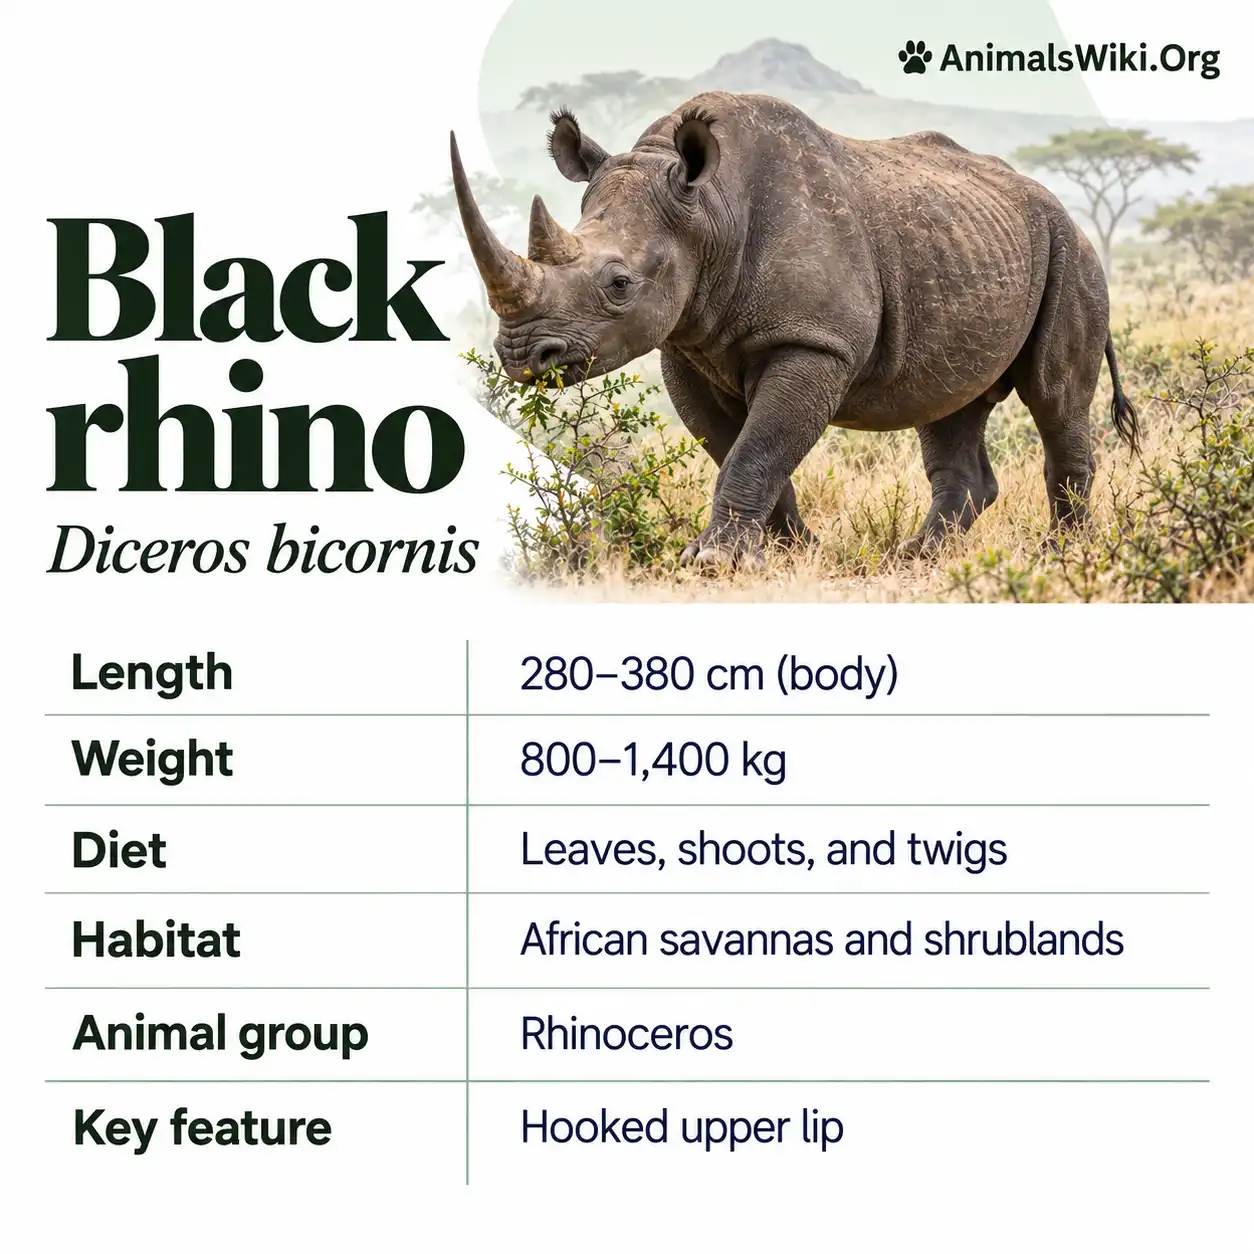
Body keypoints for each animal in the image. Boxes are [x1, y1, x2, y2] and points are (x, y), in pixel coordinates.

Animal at [450, 91, 1139, 566]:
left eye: (619, 284)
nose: (520, 356)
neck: (708, 214)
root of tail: (1062, 211)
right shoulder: (686, 345)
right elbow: (737, 445)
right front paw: (789, 552)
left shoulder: (813, 341)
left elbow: (758, 447)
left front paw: (716, 561)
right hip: (966, 249)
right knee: (948, 402)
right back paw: (915, 559)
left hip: (1070, 253)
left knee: (1053, 398)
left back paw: (1064, 557)